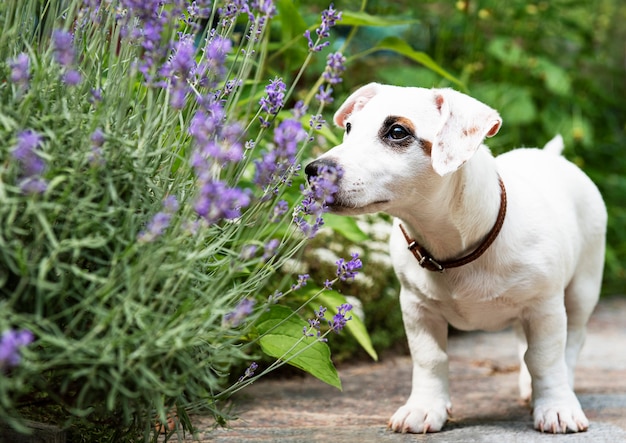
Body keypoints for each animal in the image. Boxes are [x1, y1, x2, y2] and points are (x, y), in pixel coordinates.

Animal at [304, 83, 608, 434]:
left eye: (397, 132)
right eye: (350, 128)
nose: (314, 170)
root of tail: (552, 157)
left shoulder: (544, 307)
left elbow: (546, 358)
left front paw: (556, 407)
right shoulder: (417, 308)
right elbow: (429, 358)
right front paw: (424, 408)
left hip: (582, 289)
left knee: (571, 342)